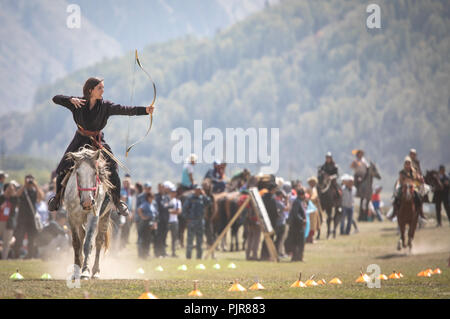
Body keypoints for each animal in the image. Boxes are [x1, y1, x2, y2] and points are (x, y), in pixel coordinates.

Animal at [64, 148, 115, 280]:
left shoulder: (93, 216)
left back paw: (96, 272)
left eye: (95, 173)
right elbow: (76, 243)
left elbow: (88, 243)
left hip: (105, 216)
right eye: (77, 173)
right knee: (81, 235)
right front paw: (76, 270)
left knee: (99, 241)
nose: (87, 202)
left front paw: (85, 271)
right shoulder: (71, 217)